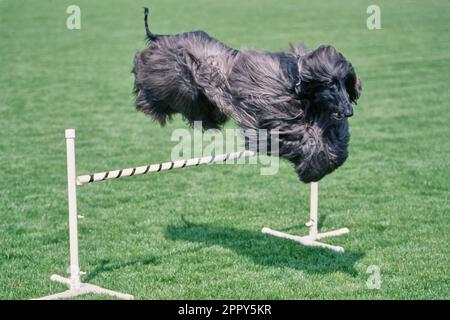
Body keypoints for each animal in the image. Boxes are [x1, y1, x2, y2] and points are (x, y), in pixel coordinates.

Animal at [132, 9, 360, 182]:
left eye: (346, 83)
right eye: (330, 84)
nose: (349, 111)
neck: (296, 83)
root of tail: (162, 37)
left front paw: (331, 156)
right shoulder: (273, 114)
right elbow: (301, 136)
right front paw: (315, 165)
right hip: (174, 79)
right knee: (143, 70)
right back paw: (144, 98)